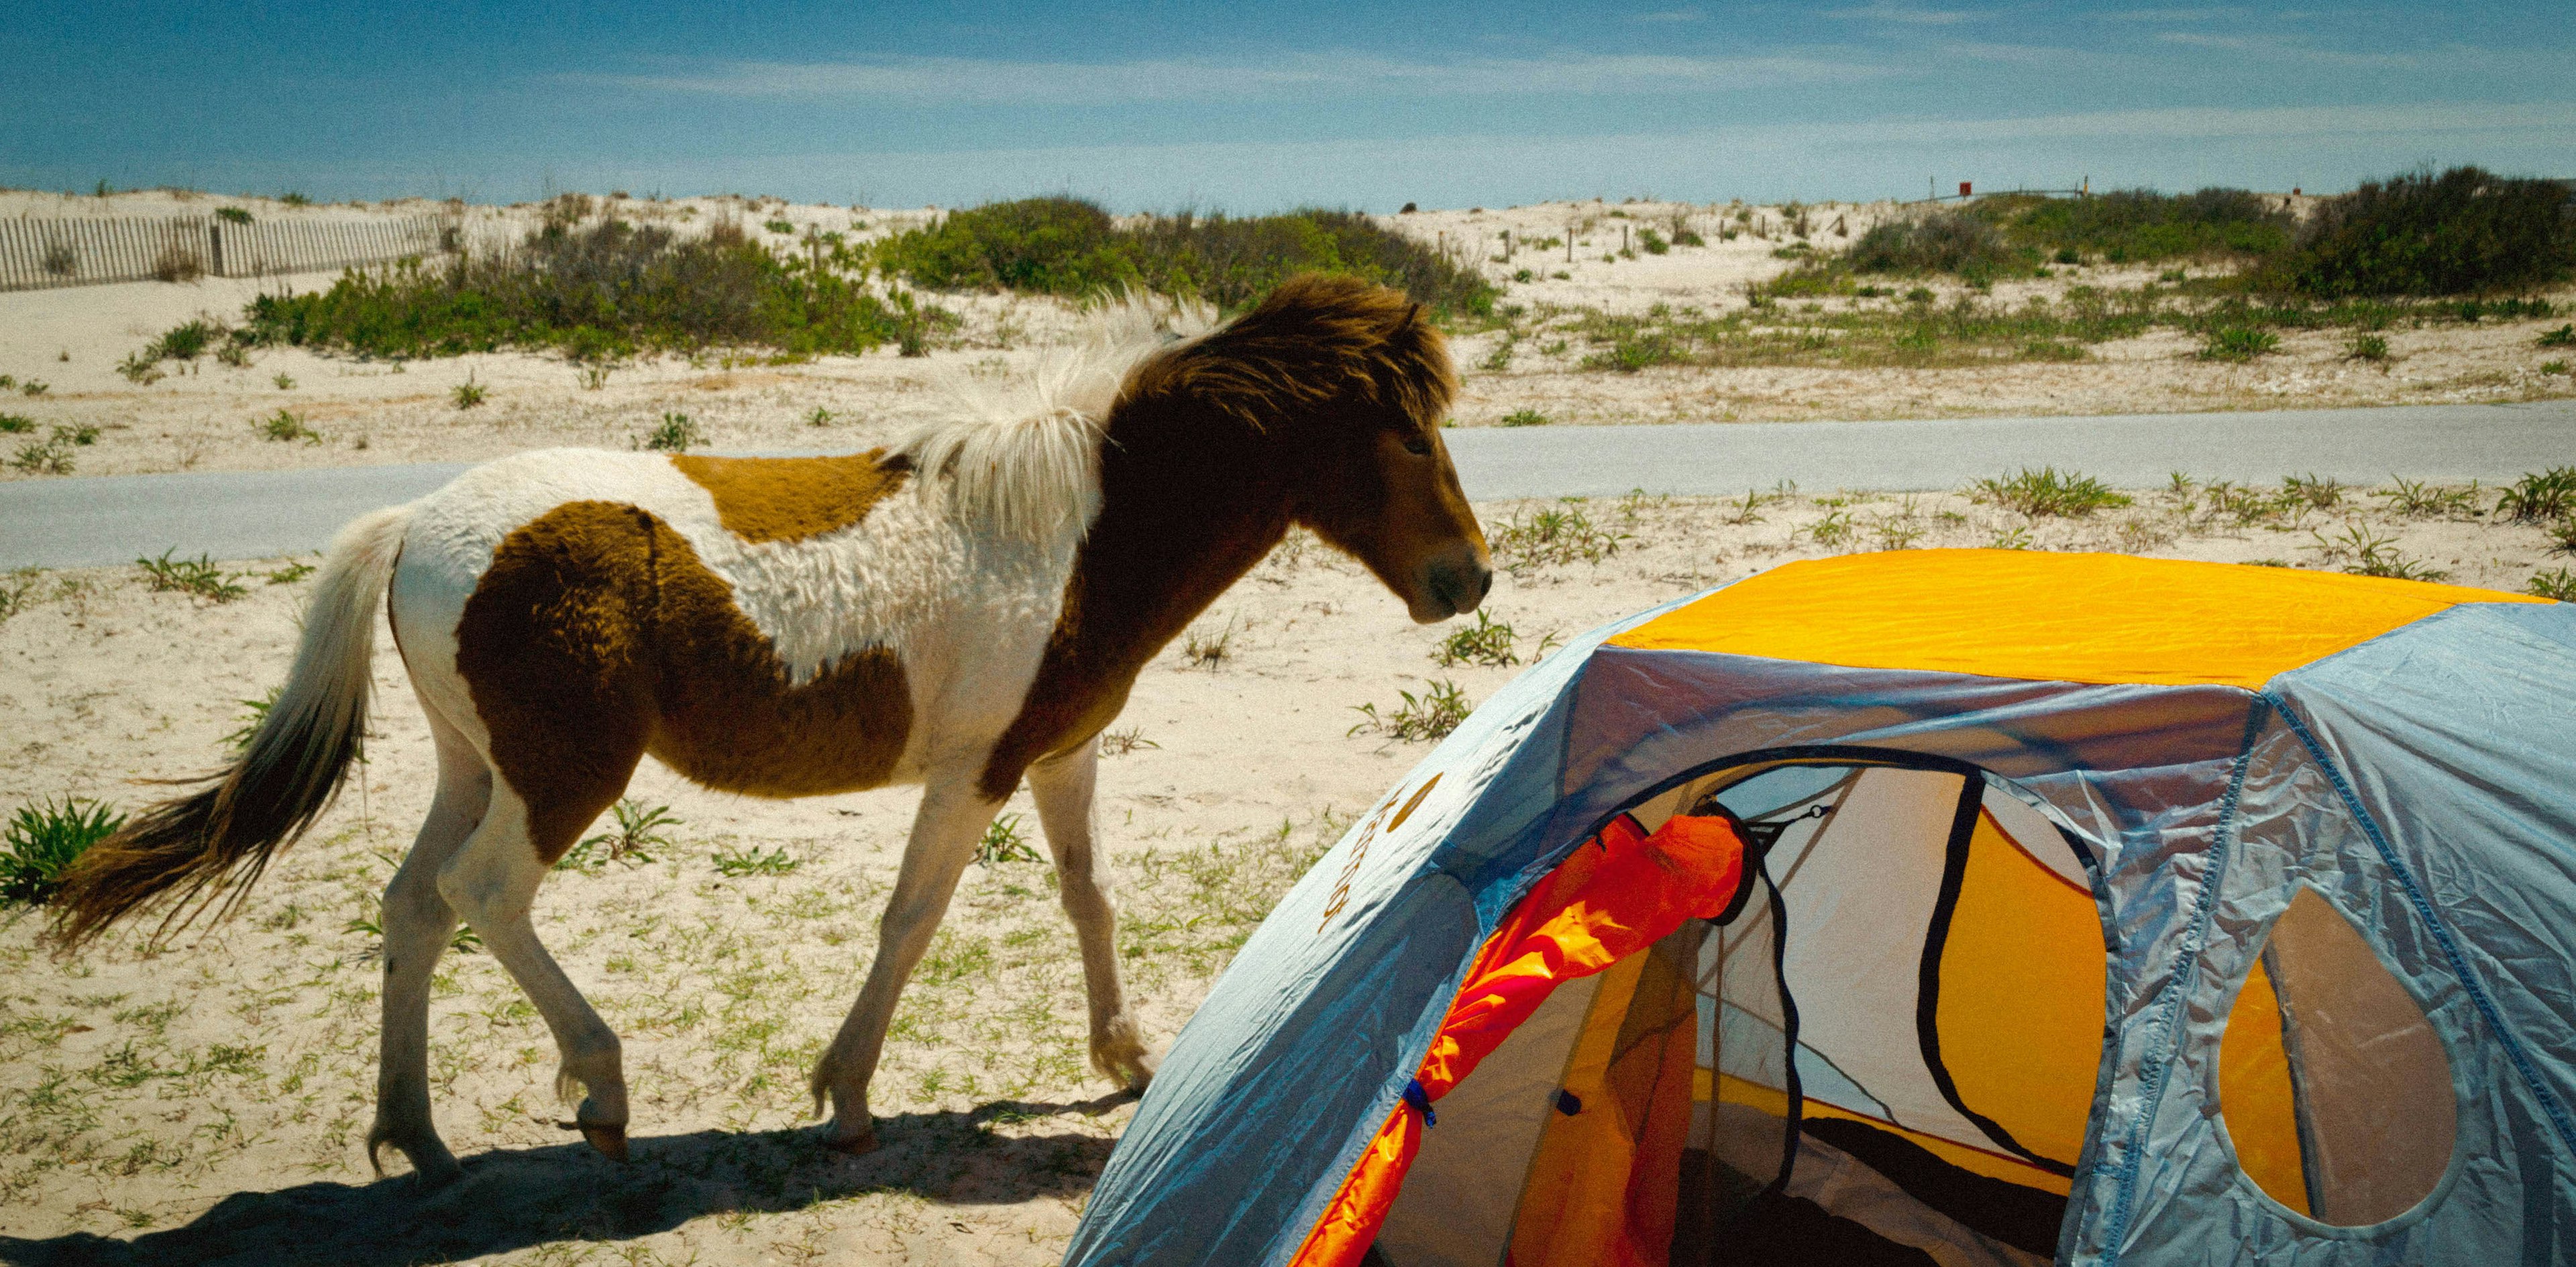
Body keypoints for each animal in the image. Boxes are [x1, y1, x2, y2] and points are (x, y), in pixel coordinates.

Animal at [50, 272, 1494, 1185]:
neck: (1075, 528)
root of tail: (410, 522)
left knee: (412, 903)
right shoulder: (976, 770)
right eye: (1405, 430)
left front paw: (1127, 1055)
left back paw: (419, 1138)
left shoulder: (1058, 752)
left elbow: (1087, 892)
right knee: (484, 893)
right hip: (562, 776)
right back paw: (600, 1090)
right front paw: (846, 1095)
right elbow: (913, 918)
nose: (1467, 579)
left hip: (478, 764)